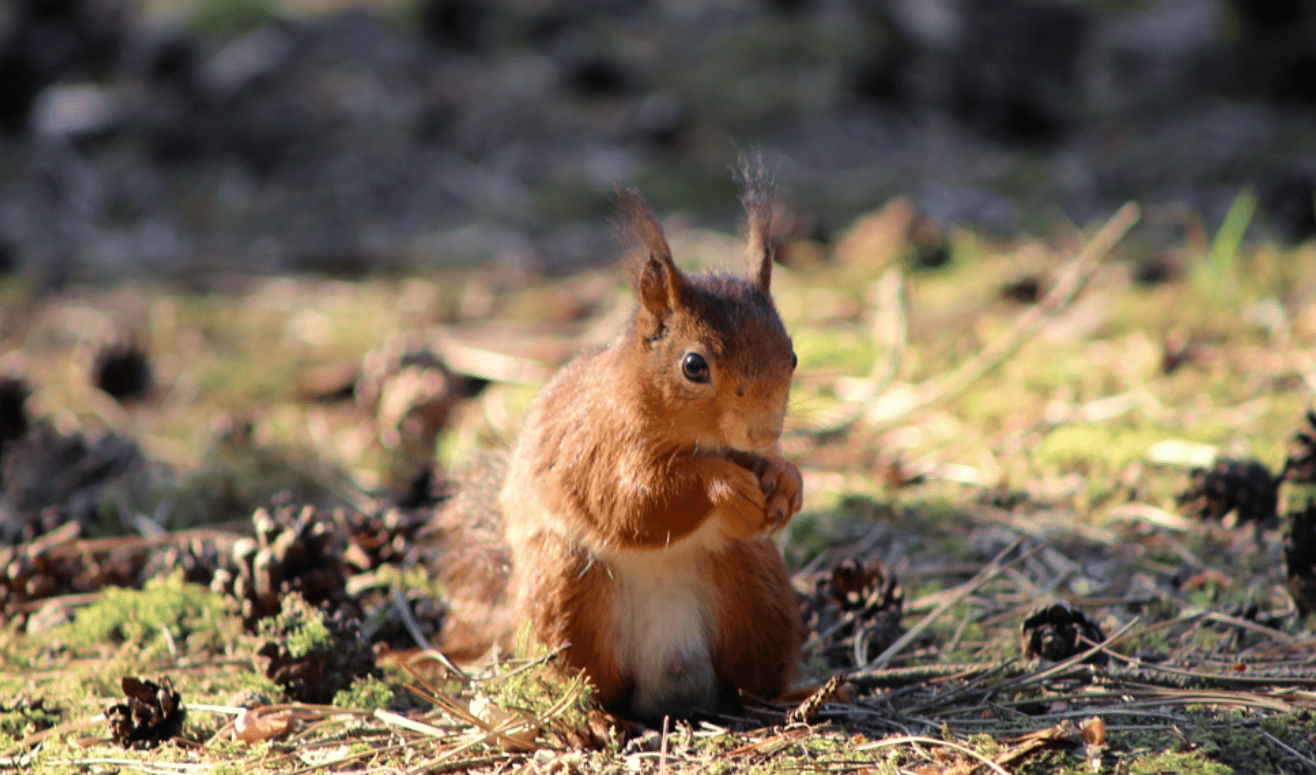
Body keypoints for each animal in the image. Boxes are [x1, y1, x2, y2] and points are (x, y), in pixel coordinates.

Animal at [495, 163, 806, 724]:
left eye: (791, 356)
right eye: (693, 366)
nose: (765, 433)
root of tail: (668, 683)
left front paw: (787, 480)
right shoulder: (597, 450)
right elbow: (633, 504)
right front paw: (724, 486)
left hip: (759, 590)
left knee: (748, 684)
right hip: (564, 590)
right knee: (582, 682)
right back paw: (592, 722)